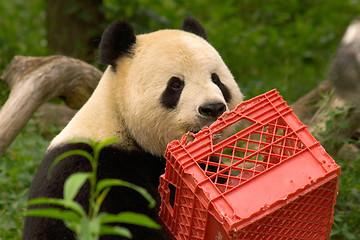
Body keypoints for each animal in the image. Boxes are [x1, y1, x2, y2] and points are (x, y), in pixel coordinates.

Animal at [22, 18, 242, 240]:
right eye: (176, 85)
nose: (212, 108)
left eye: (216, 79)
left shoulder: (203, 166)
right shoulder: (91, 171)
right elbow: (125, 224)